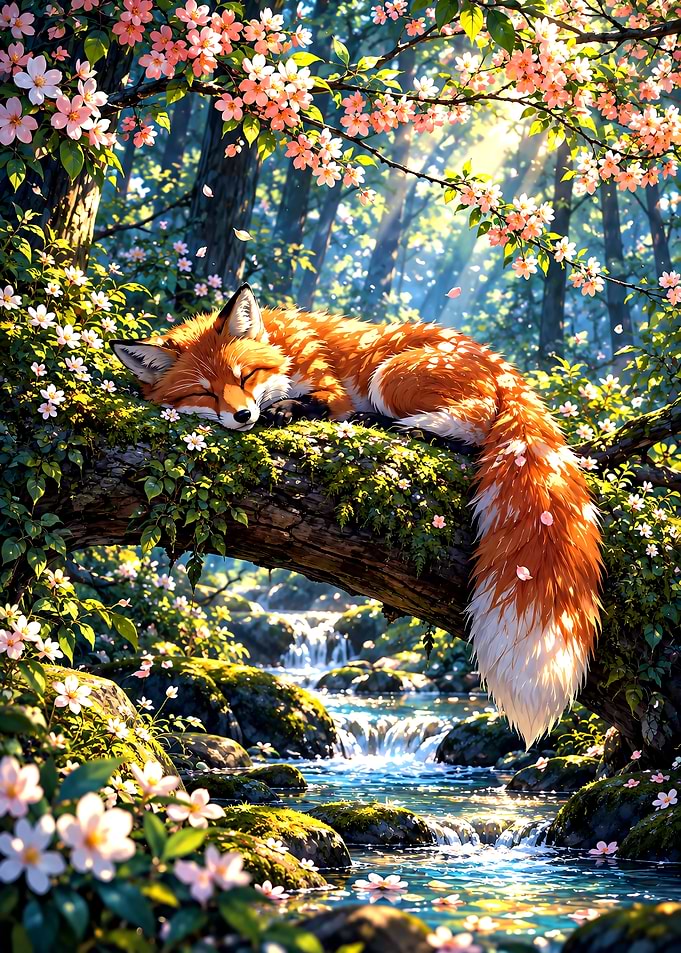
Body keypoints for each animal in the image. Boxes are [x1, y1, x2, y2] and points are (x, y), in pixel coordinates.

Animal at [112, 283, 602, 747]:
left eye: (245, 374)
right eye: (204, 391)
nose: (243, 414)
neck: (284, 347)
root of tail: (506, 369)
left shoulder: (332, 388)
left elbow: (319, 402)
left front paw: (285, 410)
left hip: (391, 375)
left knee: (472, 426)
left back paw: (388, 425)